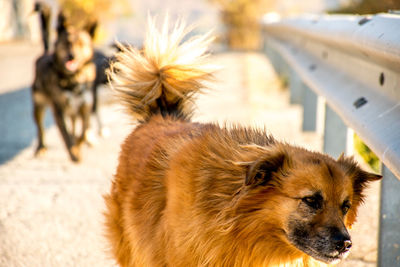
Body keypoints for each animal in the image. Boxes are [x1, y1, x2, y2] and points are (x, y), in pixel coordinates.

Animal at [31, 2, 96, 162]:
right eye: (67, 43)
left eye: (81, 44)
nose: (72, 56)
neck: (73, 78)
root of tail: (45, 53)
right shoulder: (58, 109)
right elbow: (66, 135)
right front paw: (73, 153)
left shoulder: (85, 106)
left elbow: (83, 131)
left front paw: (78, 146)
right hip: (39, 105)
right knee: (40, 128)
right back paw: (41, 147)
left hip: (73, 112)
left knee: (74, 126)